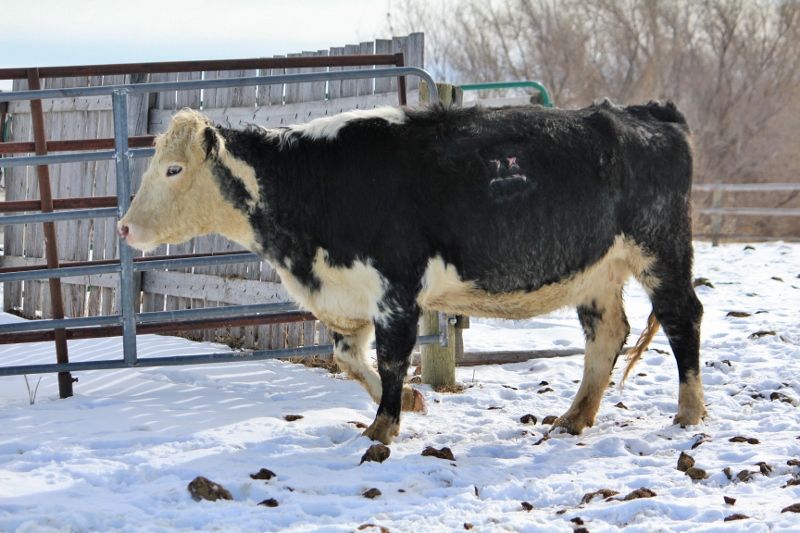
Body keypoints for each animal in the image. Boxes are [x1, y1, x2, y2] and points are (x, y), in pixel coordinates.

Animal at [118, 101, 706, 444]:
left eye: (173, 169)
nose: (124, 228)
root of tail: (645, 114)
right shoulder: (345, 295)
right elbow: (348, 358)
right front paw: (410, 403)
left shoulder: (396, 291)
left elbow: (394, 359)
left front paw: (382, 427)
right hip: (596, 272)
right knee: (606, 333)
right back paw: (575, 416)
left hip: (661, 250)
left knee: (683, 318)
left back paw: (689, 412)